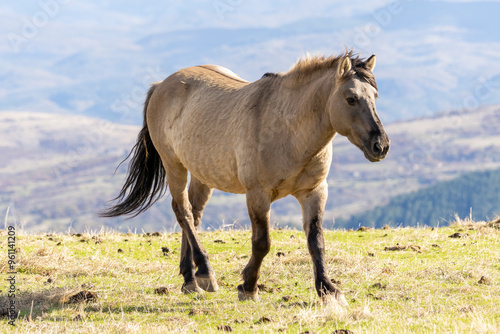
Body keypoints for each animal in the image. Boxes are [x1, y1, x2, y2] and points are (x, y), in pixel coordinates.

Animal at [100, 50, 390, 306]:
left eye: (375, 96)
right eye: (351, 98)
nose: (381, 146)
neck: (288, 129)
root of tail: (162, 85)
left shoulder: (315, 191)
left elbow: (316, 241)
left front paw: (328, 290)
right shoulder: (258, 195)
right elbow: (262, 243)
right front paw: (248, 287)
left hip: (203, 174)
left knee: (194, 213)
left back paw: (189, 279)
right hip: (175, 165)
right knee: (183, 211)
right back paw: (205, 273)